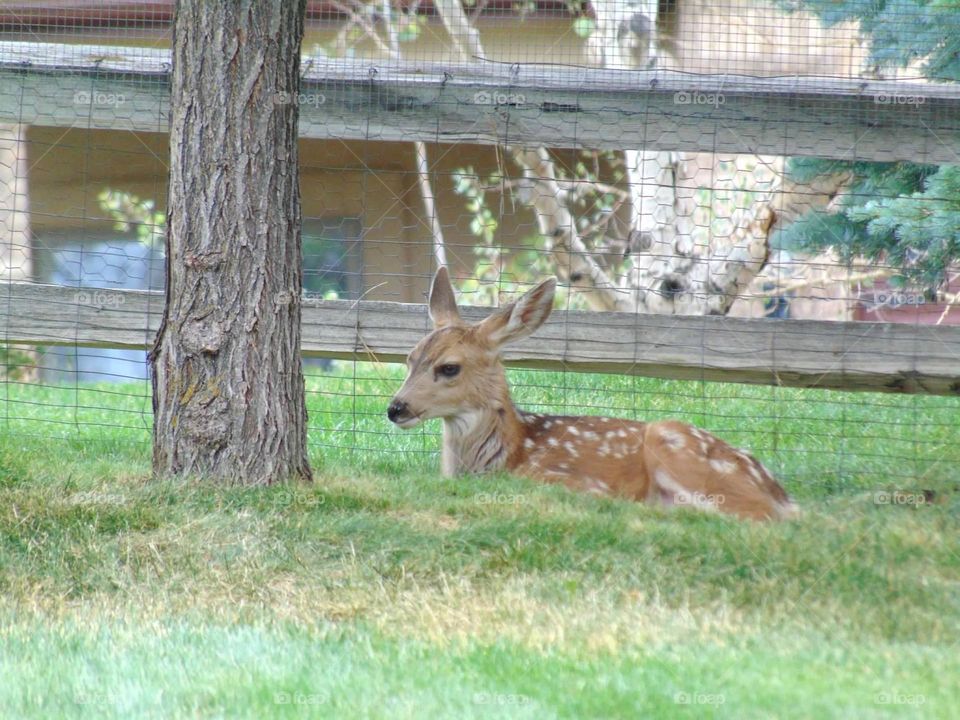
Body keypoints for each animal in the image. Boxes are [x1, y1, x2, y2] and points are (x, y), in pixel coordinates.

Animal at [386, 268, 800, 520]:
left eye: (449, 368)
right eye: (410, 358)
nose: (396, 408)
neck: (507, 455)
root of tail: (782, 495)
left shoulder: (571, 482)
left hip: (678, 446)